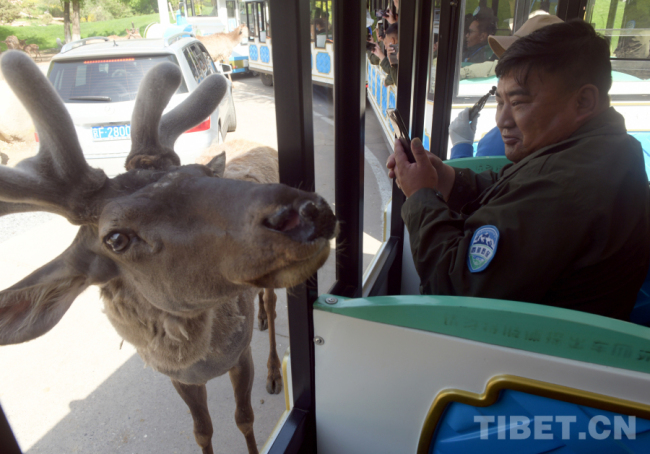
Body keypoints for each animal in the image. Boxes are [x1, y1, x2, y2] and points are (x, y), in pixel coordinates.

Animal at [0, 50, 336, 454]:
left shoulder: (240, 356)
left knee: (270, 302)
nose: (306, 210)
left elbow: (244, 418)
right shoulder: (179, 378)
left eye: (202, 175)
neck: (204, 362)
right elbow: (202, 431)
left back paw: (272, 363)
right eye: (116, 239)